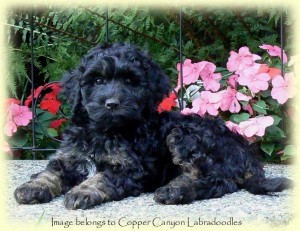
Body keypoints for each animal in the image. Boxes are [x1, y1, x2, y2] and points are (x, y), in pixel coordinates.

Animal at [14, 42, 292, 209]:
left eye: (130, 81)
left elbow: (101, 177)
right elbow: (50, 172)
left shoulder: (129, 169)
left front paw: (82, 191)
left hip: (184, 135)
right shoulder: (69, 157)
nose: (111, 104)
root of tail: (246, 153)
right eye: (97, 80)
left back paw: (174, 191)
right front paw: (32, 188)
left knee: (215, 180)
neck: (104, 132)